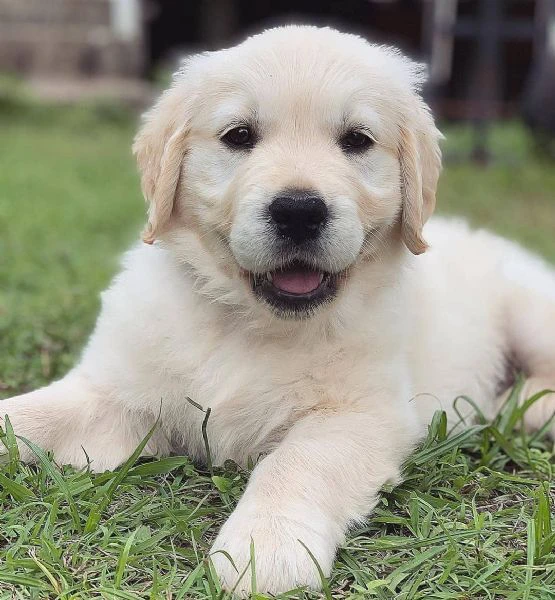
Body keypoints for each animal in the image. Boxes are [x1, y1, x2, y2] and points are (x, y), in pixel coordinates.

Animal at [1, 24, 555, 596]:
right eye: (239, 136)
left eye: (357, 140)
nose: (299, 211)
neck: (249, 321)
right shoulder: (118, 392)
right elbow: (30, 415)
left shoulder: (360, 412)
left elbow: (297, 462)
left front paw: (262, 547)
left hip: (529, 309)